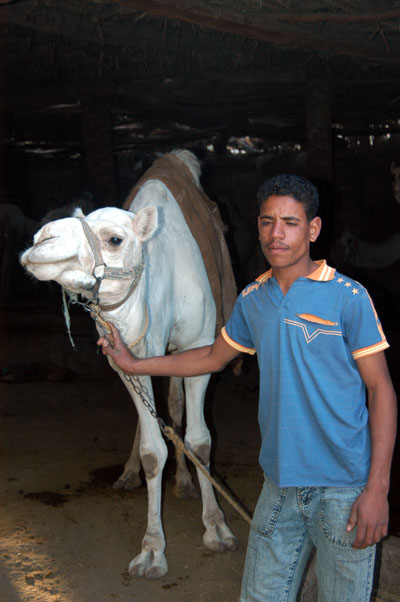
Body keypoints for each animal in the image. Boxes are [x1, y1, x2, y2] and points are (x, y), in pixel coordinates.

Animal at [20, 150, 238, 576]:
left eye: (114, 239)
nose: (40, 240)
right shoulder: (128, 358)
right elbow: (154, 450)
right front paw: (153, 549)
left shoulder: (200, 346)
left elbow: (201, 441)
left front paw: (216, 528)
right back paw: (129, 474)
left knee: (175, 407)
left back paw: (184, 483)